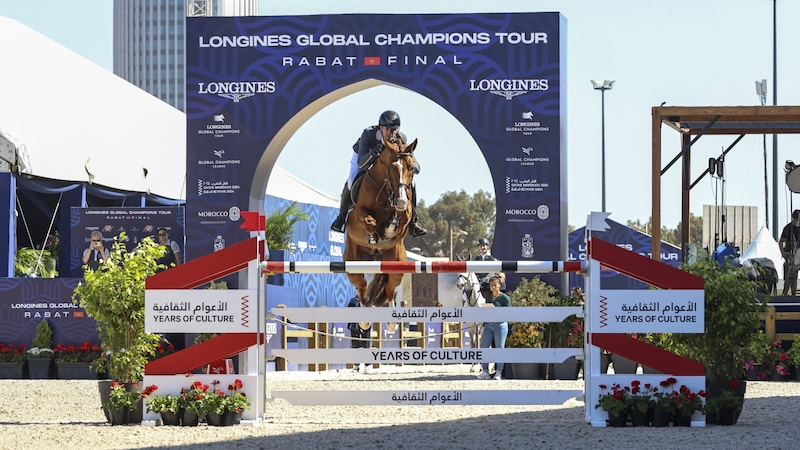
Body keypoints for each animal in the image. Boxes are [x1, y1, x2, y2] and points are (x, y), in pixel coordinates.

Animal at [344, 135, 418, 308]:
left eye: (411, 168)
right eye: (392, 167)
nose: (401, 201)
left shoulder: (406, 216)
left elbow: (401, 219)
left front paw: (390, 227)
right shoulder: (358, 213)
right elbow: (369, 221)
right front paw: (374, 236)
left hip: (396, 264)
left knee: (389, 290)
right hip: (353, 265)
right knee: (362, 288)